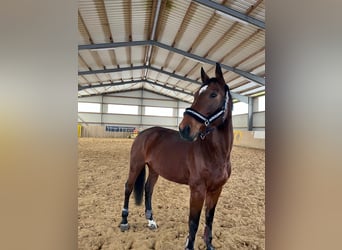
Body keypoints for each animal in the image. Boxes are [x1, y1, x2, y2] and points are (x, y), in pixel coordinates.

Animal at [119, 63, 234, 250]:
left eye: (213, 94)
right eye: (195, 94)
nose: (184, 128)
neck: (214, 153)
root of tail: (143, 133)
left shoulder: (216, 190)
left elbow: (209, 219)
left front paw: (209, 244)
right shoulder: (197, 190)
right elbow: (193, 222)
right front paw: (189, 245)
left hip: (154, 170)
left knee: (148, 189)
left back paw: (151, 221)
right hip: (135, 165)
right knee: (128, 187)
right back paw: (123, 221)